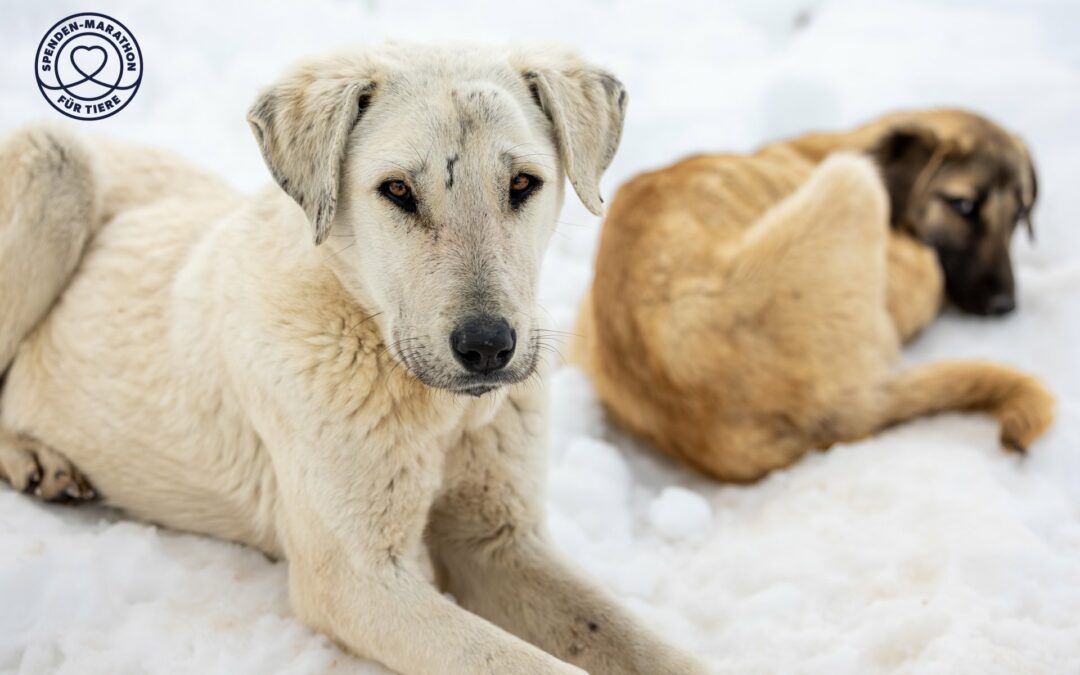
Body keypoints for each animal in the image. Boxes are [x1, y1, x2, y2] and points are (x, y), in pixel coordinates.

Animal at [0, 46, 708, 673]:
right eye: (396, 190)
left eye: (522, 183)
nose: (487, 347)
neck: (433, 406)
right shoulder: (354, 579)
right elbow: (525, 665)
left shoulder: (499, 542)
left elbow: (640, 644)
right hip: (53, 158)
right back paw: (35, 458)